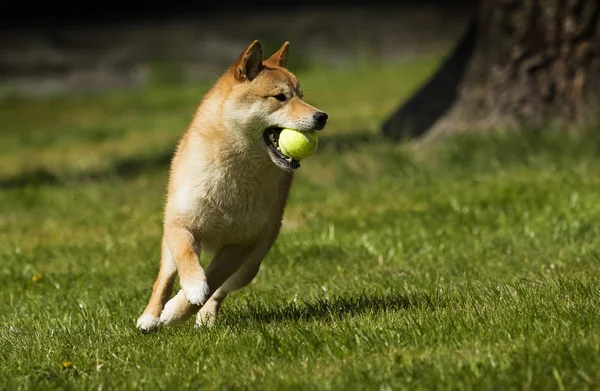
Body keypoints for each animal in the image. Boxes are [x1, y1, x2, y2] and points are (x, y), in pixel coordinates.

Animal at [136, 40, 328, 334]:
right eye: (280, 97)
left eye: (301, 95)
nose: (322, 116)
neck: (234, 173)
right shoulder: (180, 224)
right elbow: (187, 260)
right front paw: (192, 287)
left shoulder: (241, 245)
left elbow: (213, 280)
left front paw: (179, 310)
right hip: (169, 243)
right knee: (165, 277)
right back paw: (150, 317)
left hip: (251, 265)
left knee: (219, 290)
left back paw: (204, 317)